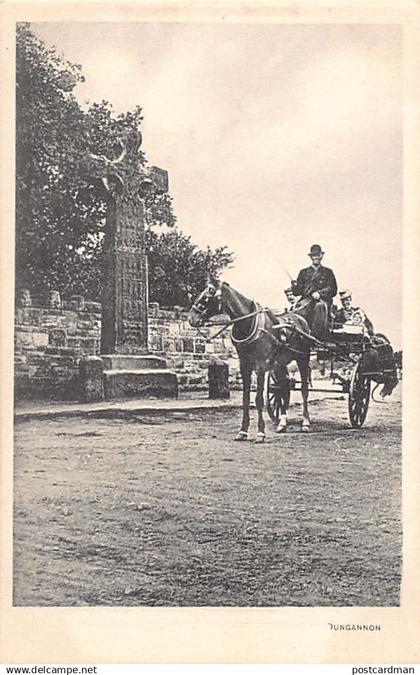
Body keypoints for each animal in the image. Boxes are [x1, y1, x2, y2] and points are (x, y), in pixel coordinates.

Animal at [189, 278, 314, 440]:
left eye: (207, 296)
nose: (191, 318)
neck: (248, 323)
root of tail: (301, 320)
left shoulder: (261, 365)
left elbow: (259, 399)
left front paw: (260, 432)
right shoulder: (245, 365)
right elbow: (246, 399)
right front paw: (243, 431)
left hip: (303, 358)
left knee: (304, 390)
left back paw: (305, 422)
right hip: (279, 364)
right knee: (284, 387)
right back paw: (282, 423)